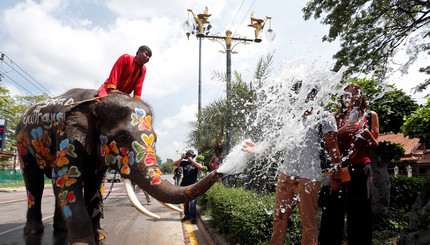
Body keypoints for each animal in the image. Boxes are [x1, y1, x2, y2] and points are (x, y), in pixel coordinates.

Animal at [15, 88, 225, 245]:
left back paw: (61, 229)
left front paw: (100, 235)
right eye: (122, 138)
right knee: (35, 183)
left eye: (156, 139)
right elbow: (65, 177)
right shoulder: (68, 137)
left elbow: (94, 185)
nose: (219, 171)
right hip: (22, 142)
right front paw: (83, 243)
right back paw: (33, 231)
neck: (97, 100)